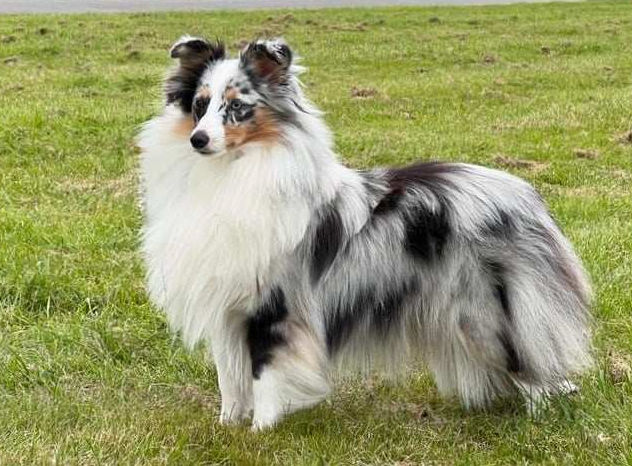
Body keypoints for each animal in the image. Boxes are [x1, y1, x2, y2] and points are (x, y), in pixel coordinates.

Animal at [137, 36, 592, 430]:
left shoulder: (273, 307)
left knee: (532, 362)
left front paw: (261, 433)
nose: (198, 140)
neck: (230, 172)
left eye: (237, 107)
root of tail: (527, 196)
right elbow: (230, 378)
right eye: (199, 105)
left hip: (487, 313)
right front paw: (228, 426)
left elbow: (263, 375)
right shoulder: (228, 309)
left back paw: (538, 412)